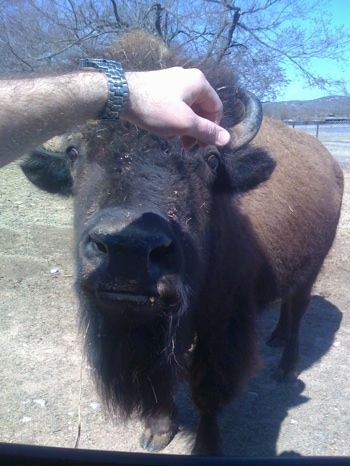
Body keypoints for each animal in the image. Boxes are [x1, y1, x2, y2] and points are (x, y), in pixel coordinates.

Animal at [19, 39, 342, 456]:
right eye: (73, 152)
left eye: (211, 158)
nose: (128, 252)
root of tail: (329, 162)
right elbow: (165, 374)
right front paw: (157, 430)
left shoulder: (219, 328)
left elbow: (207, 387)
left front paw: (207, 446)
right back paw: (276, 337)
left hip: (312, 269)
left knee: (299, 307)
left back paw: (286, 366)